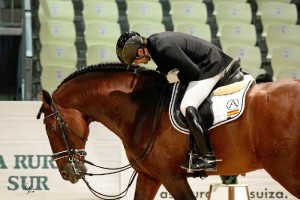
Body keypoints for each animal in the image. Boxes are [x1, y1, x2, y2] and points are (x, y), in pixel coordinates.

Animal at [38, 62, 300, 198]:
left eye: (51, 128)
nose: (67, 173)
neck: (142, 108)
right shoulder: (150, 177)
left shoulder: (171, 177)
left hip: (286, 170)